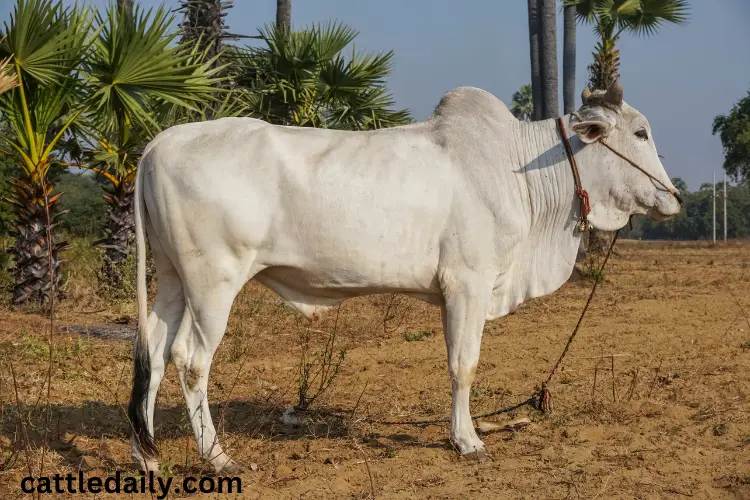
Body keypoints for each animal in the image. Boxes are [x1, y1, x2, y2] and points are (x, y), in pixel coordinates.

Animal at [131, 83, 688, 472]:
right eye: (640, 132)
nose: (675, 197)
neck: (516, 171)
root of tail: (158, 143)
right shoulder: (468, 283)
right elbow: (464, 365)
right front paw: (468, 440)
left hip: (173, 279)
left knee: (152, 353)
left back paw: (147, 454)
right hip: (212, 282)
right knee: (190, 359)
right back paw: (216, 457)